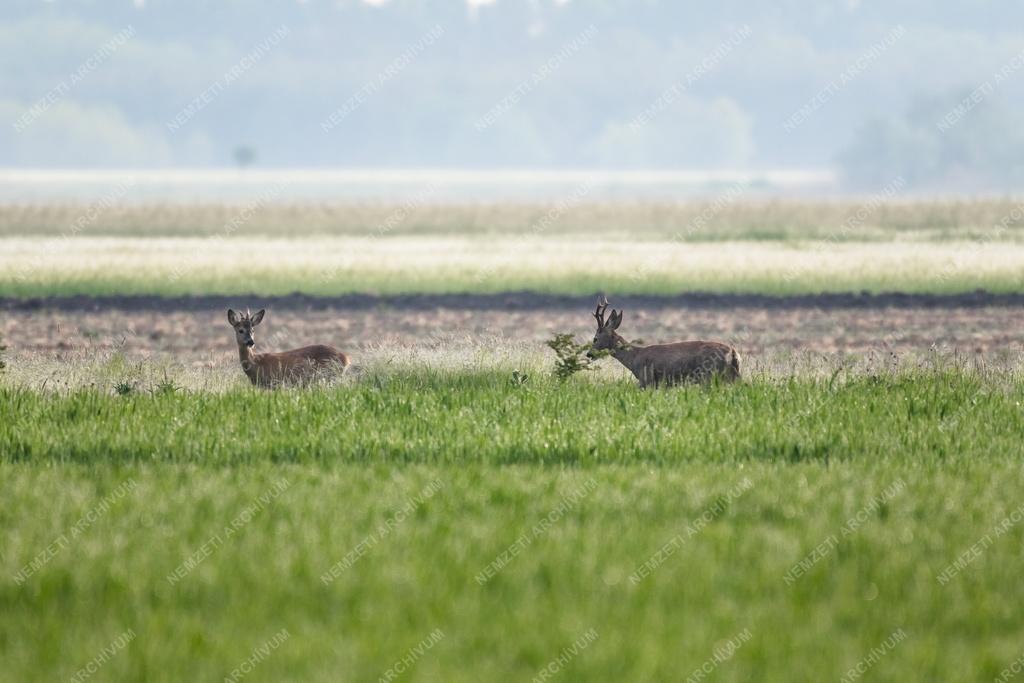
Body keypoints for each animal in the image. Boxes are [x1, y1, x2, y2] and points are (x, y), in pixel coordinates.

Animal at [589, 296, 741, 387]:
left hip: (709, 375)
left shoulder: (646, 380)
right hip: (731, 375)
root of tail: (733, 352)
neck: (634, 358)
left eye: (595, 338)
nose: (588, 354)